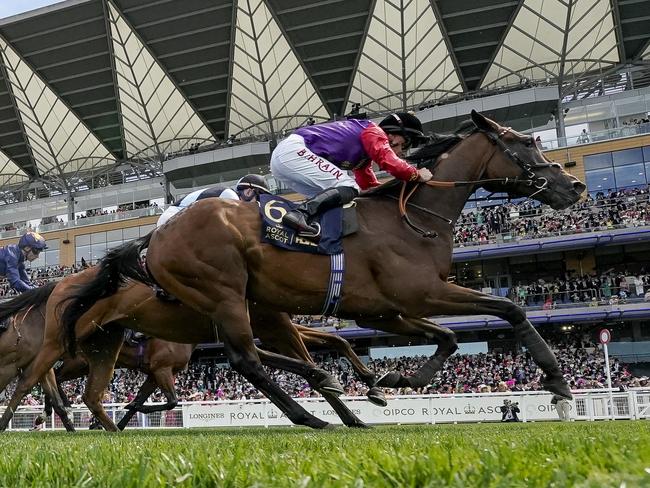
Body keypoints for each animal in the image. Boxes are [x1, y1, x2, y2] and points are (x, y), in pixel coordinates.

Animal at [0, 266, 382, 430]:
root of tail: (59, 285)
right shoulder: (166, 366)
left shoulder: (157, 370)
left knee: (79, 391)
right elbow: (171, 399)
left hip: (97, 348)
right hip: (58, 350)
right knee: (31, 381)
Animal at [59, 109, 584, 428]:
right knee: (245, 360)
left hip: (246, 305)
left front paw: (394, 381)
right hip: (224, 294)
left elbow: (449, 337)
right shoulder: (422, 293)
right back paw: (312, 416)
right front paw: (558, 385)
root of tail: (154, 237)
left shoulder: (384, 311)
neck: (411, 218)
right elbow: (509, 310)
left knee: (257, 356)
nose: (576, 186)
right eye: (526, 143)